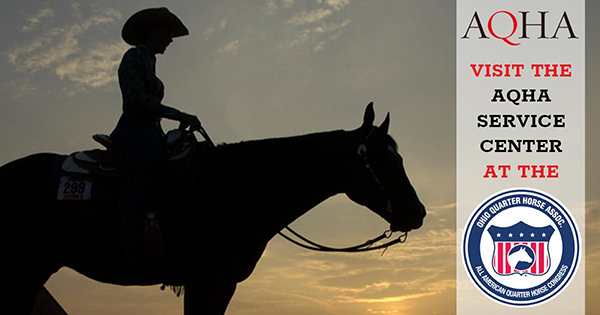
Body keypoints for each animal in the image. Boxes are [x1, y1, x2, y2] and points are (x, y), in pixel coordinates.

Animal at [0, 103, 426, 314]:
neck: (238, 186)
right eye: (379, 159)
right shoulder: (202, 279)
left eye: (400, 156)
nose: (417, 212)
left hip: (33, 268)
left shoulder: (225, 284)